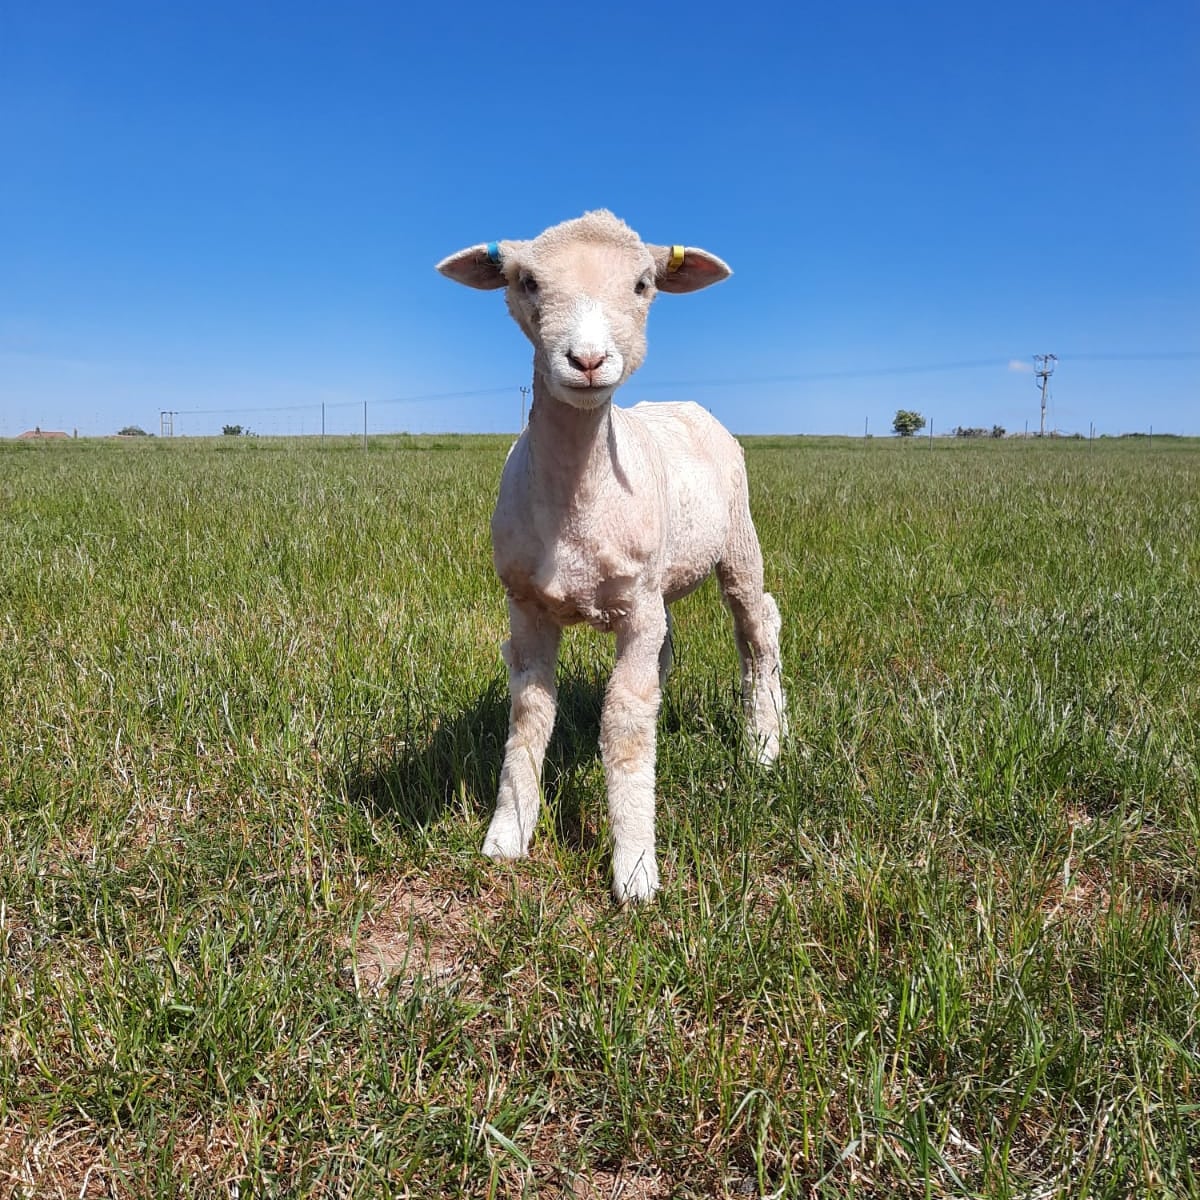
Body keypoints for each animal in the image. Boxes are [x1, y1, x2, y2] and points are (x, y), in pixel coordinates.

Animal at [437, 210, 785, 903]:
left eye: (643, 284)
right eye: (527, 282)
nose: (589, 360)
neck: (576, 502)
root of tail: (686, 404)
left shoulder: (635, 610)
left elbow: (624, 729)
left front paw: (635, 869)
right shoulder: (528, 607)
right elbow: (530, 715)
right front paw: (508, 835)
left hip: (737, 535)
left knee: (757, 623)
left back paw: (765, 741)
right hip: (659, 582)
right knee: (671, 644)